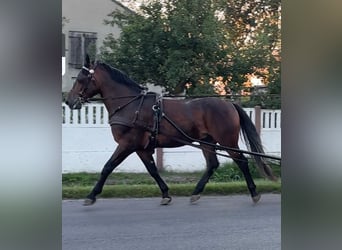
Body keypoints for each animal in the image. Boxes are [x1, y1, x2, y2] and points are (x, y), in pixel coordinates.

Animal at [65, 56, 276, 205]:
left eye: (81, 78)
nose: (69, 101)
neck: (130, 105)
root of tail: (229, 104)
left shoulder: (127, 144)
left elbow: (107, 167)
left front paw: (91, 195)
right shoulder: (141, 148)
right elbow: (152, 169)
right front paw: (165, 194)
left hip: (227, 141)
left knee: (241, 161)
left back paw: (254, 192)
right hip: (207, 141)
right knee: (212, 164)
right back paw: (196, 193)